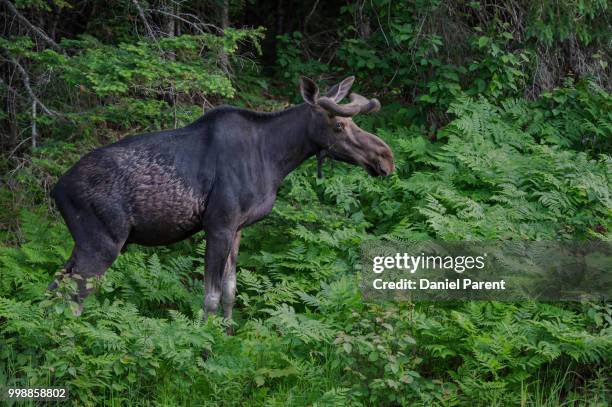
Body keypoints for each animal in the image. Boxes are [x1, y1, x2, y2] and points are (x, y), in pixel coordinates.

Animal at [47, 76, 394, 332]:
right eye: (338, 126)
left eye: (352, 123)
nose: (385, 157)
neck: (275, 159)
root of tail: (56, 190)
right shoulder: (219, 224)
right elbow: (210, 297)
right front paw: (204, 346)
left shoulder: (238, 228)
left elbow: (230, 291)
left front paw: (228, 334)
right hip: (104, 242)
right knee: (75, 297)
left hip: (84, 241)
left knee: (56, 286)